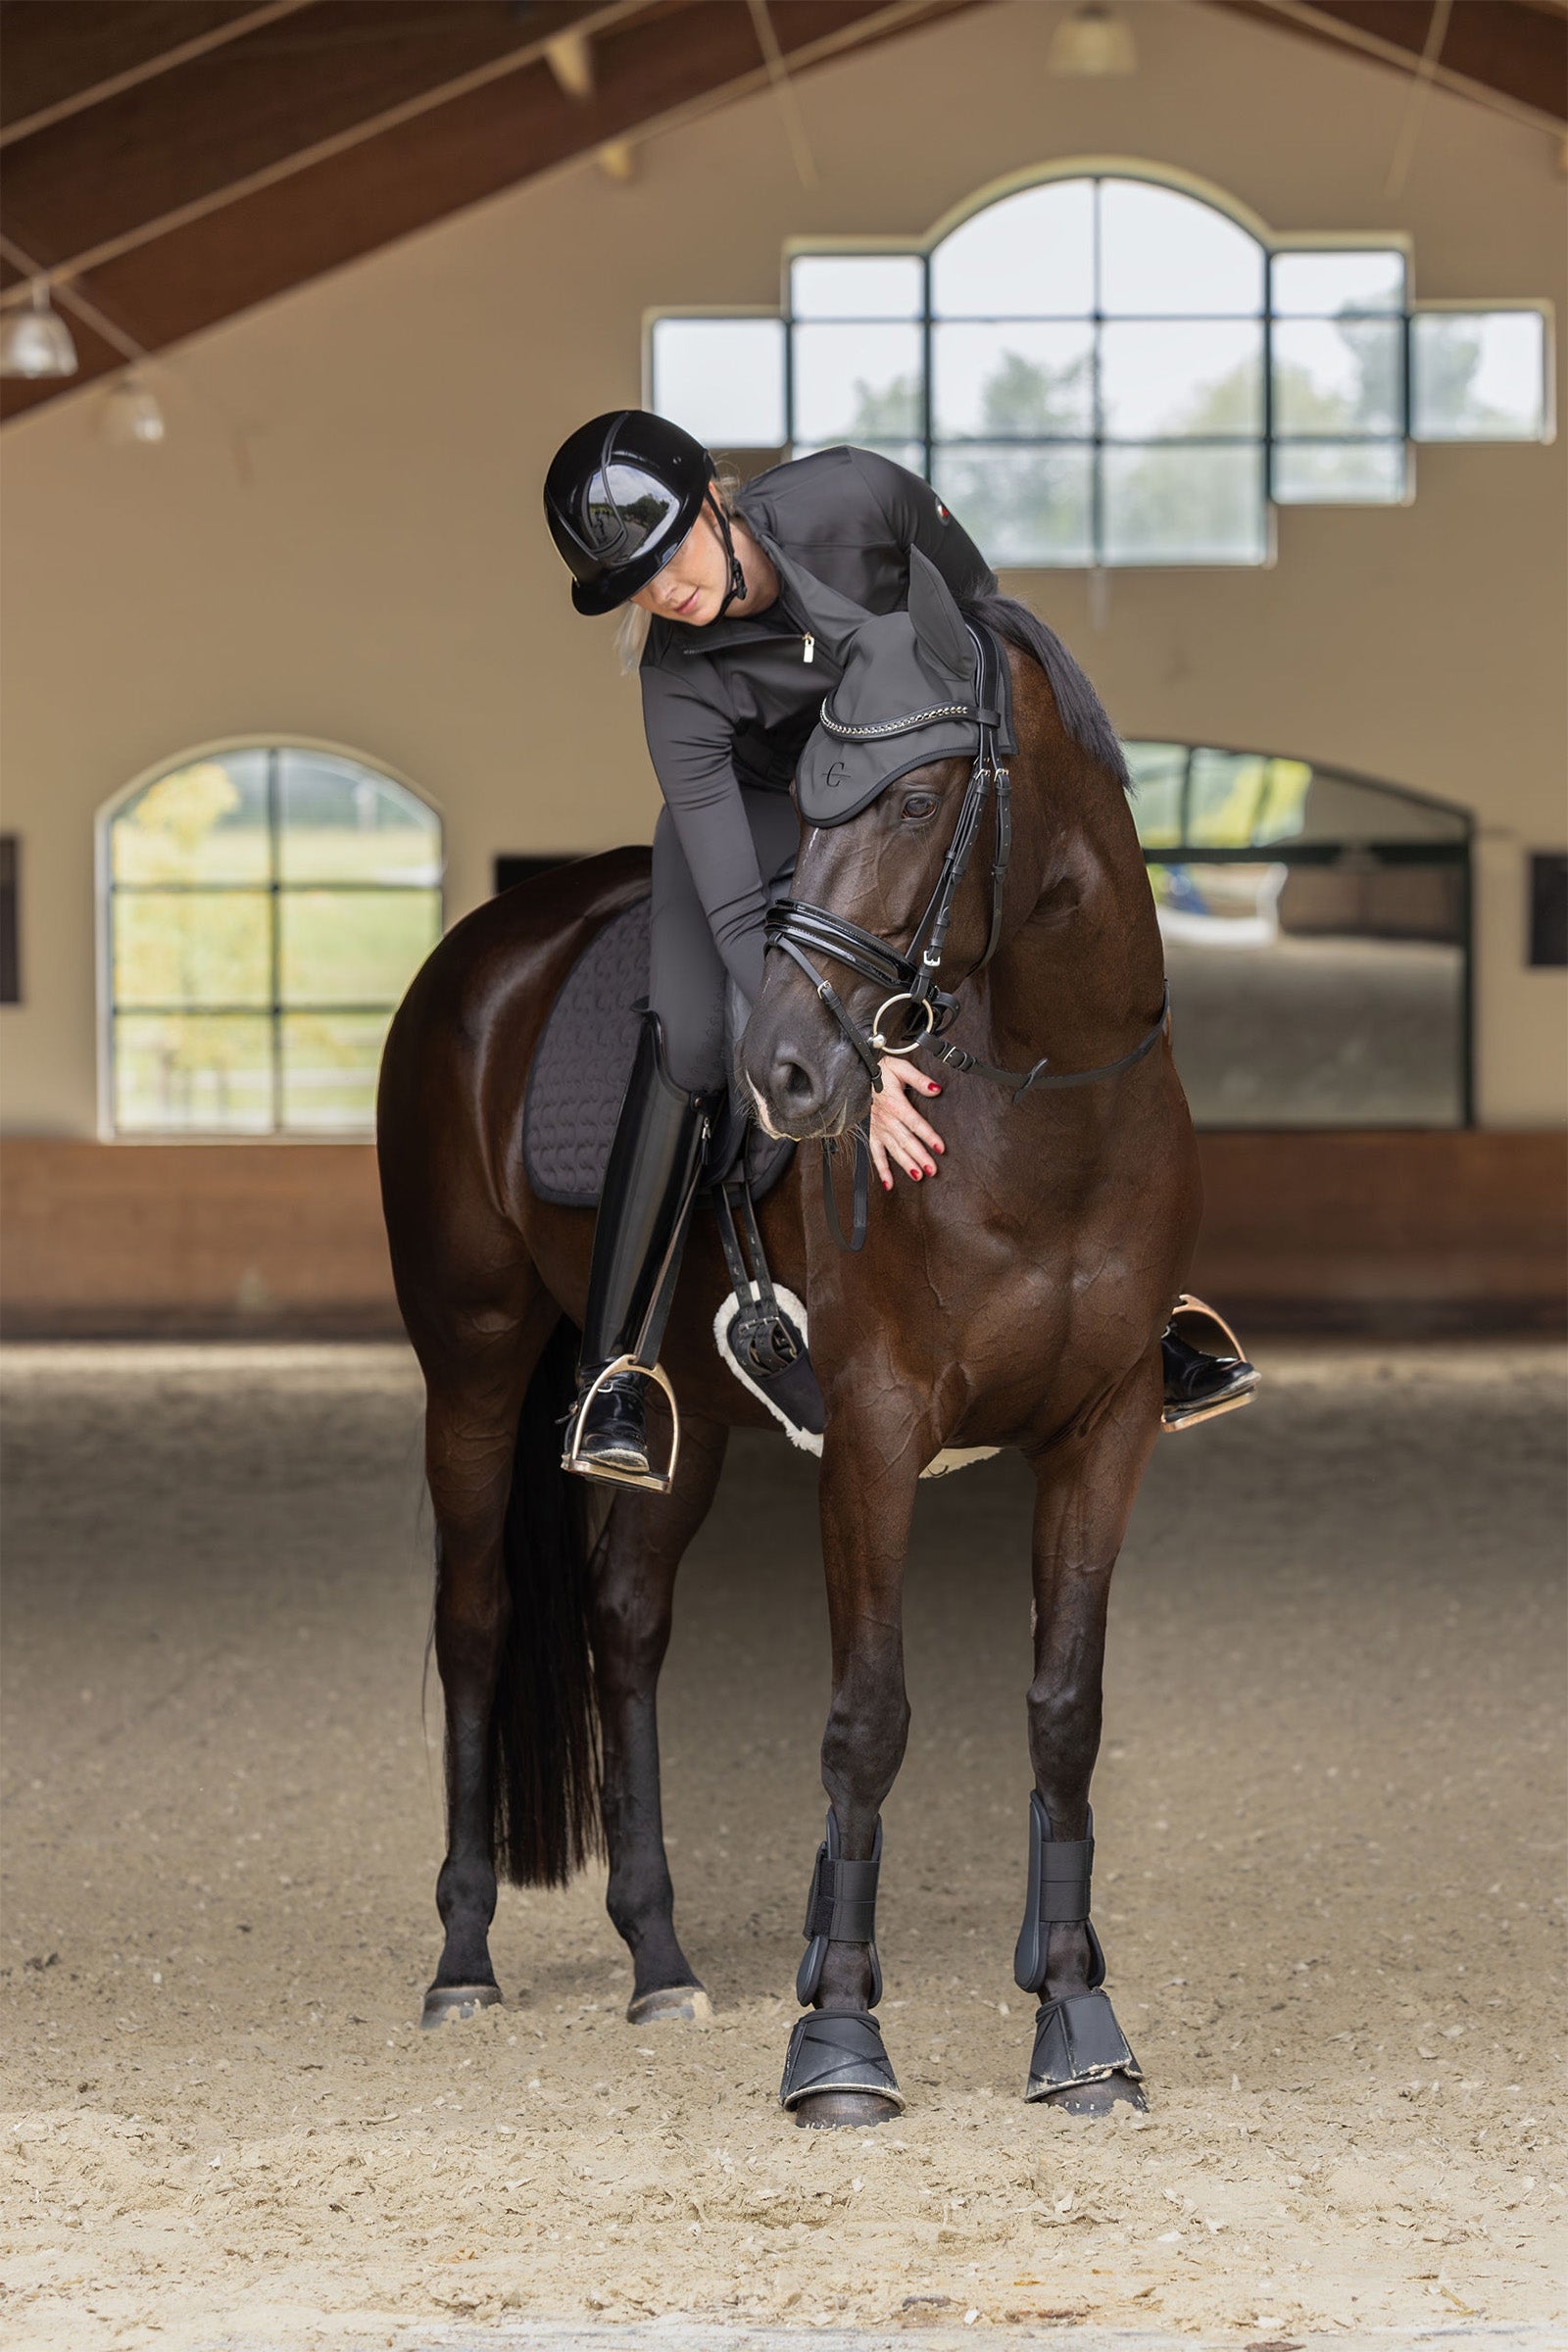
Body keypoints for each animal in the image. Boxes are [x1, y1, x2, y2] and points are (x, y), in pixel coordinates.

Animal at [375, 550, 1200, 2127]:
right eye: (810, 810)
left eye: (915, 804)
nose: (788, 1076)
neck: (1048, 1103)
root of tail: (482, 953)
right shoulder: (874, 1427)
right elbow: (866, 1719)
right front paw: (839, 2042)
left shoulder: (1107, 1428)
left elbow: (1064, 1712)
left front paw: (1077, 2018)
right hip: (475, 1358)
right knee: (474, 1619)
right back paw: (462, 1960)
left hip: (681, 1404)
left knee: (625, 1621)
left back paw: (658, 1957)